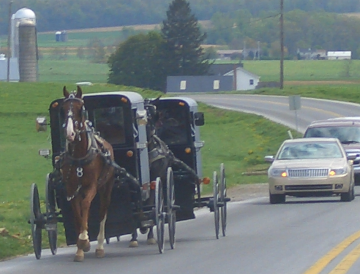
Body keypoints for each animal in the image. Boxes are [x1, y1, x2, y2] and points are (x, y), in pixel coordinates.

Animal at [60, 86, 114, 262]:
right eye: (63, 109)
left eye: (80, 109)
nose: (70, 133)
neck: (79, 156)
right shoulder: (71, 189)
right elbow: (77, 213)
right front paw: (80, 248)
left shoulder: (92, 186)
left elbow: (85, 205)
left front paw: (84, 240)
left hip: (106, 187)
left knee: (103, 211)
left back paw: (100, 247)